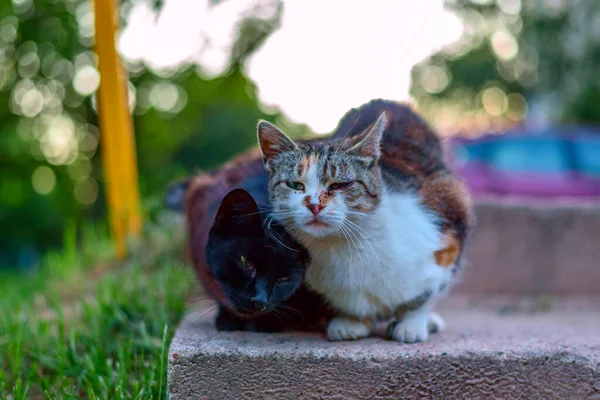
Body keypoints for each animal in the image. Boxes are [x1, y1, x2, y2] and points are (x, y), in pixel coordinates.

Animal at [256, 98, 474, 342]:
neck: (346, 246)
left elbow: (426, 293)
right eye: (295, 185)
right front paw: (351, 320)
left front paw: (412, 324)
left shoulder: (449, 219)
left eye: (340, 185)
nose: (314, 205)